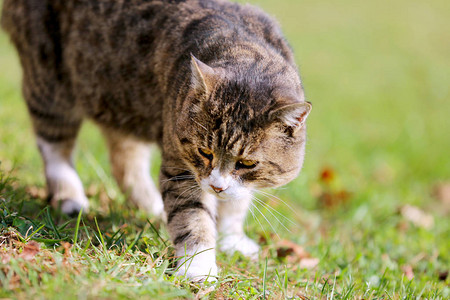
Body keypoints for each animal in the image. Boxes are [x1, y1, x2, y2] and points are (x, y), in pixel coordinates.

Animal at [0, 0, 310, 282]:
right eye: (204, 151)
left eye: (247, 163)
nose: (217, 187)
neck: (243, 46)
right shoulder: (181, 167)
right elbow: (192, 216)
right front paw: (199, 267)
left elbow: (236, 204)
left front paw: (231, 240)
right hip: (51, 83)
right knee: (54, 146)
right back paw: (71, 197)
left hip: (123, 102)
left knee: (124, 162)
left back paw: (153, 208)